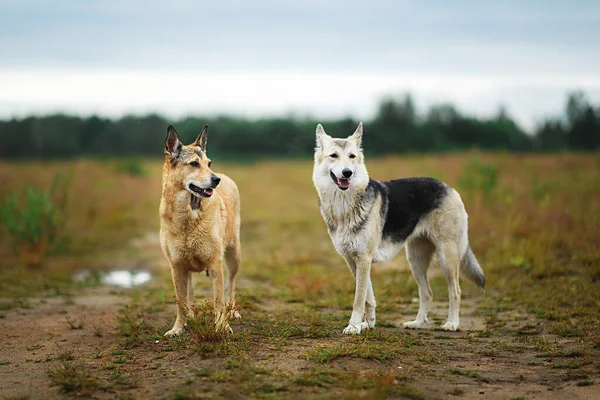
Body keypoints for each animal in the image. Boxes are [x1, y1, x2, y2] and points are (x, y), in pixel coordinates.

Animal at [161, 125, 243, 338]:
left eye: (209, 163)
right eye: (193, 164)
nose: (216, 180)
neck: (189, 214)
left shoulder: (215, 262)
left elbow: (218, 300)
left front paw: (221, 327)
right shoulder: (176, 265)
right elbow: (180, 301)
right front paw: (178, 328)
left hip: (234, 255)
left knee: (231, 284)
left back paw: (232, 311)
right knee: (189, 292)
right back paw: (191, 315)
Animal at [312, 122, 486, 334]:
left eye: (352, 156)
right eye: (334, 155)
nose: (347, 173)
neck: (343, 204)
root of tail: (449, 188)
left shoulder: (363, 259)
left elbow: (358, 299)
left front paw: (353, 326)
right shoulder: (354, 261)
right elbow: (369, 297)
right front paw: (368, 324)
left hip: (447, 257)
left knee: (456, 291)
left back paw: (452, 323)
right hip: (415, 261)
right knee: (427, 293)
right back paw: (418, 323)